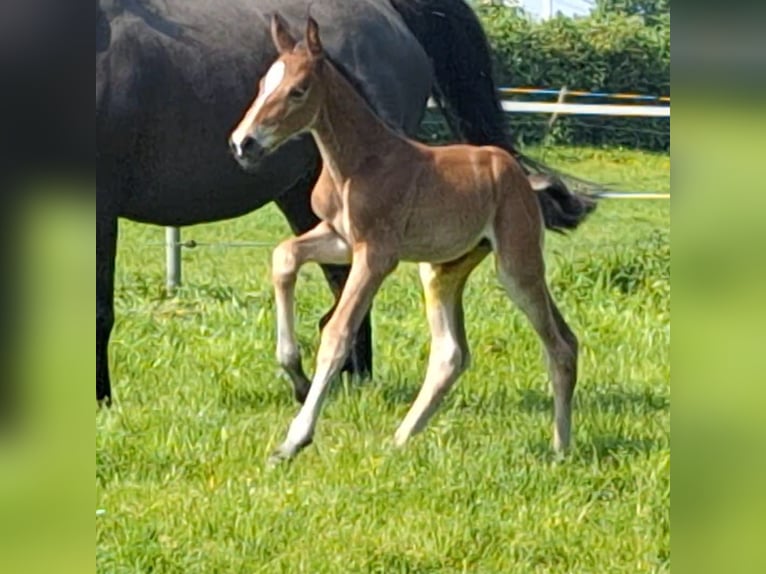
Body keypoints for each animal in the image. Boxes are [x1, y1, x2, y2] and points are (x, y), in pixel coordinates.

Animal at [231, 14, 596, 468]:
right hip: (441, 269)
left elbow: (337, 334)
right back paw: (400, 439)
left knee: (560, 344)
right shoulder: (341, 239)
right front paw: (292, 368)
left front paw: (293, 441)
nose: (243, 143)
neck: (358, 161)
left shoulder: (377, 254)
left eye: (297, 90)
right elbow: (284, 256)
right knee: (451, 353)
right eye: (263, 83)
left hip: (517, 264)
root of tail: (522, 179)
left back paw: (561, 447)